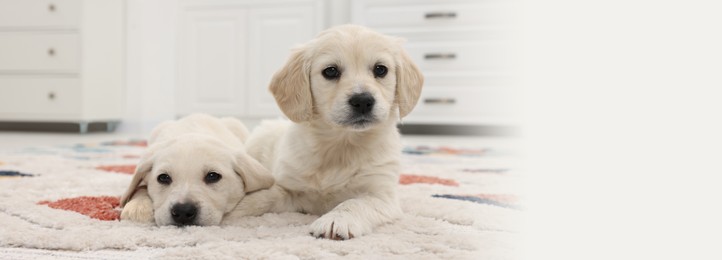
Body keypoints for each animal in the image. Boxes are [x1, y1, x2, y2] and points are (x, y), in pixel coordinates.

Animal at [224, 24, 422, 240]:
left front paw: (336, 220)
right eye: (331, 71)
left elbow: (355, 202)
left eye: (380, 69)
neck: (341, 144)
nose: (363, 101)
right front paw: (233, 208)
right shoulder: (290, 186)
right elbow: (266, 196)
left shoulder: (382, 195)